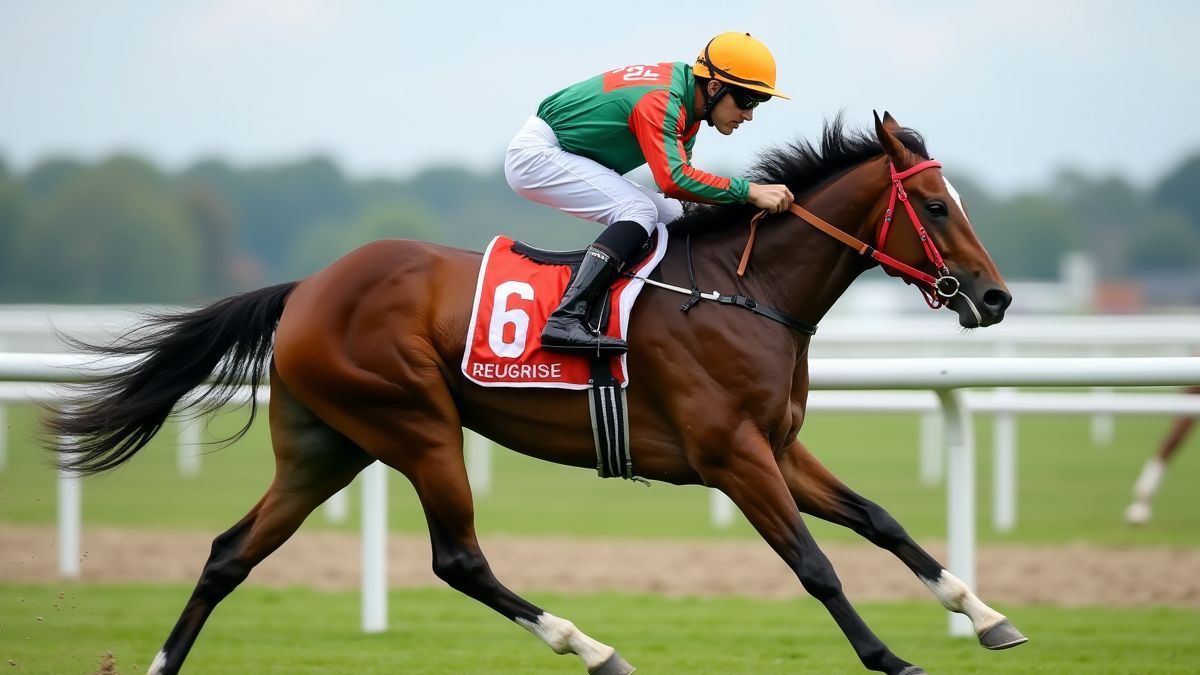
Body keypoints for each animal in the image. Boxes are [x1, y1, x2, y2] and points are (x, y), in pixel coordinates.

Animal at [49, 112, 1022, 675]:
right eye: (938, 207)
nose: (995, 297)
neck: (745, 290)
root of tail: (309, 288)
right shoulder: (732, 455)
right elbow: (813, 562)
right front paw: (892, 656)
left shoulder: (778, 445)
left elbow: (880, 519)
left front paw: (986, 614)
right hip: (416, 424)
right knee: (459, 559)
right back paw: (592, 647)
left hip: (329, 443)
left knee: (229, 552)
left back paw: (162, 663)